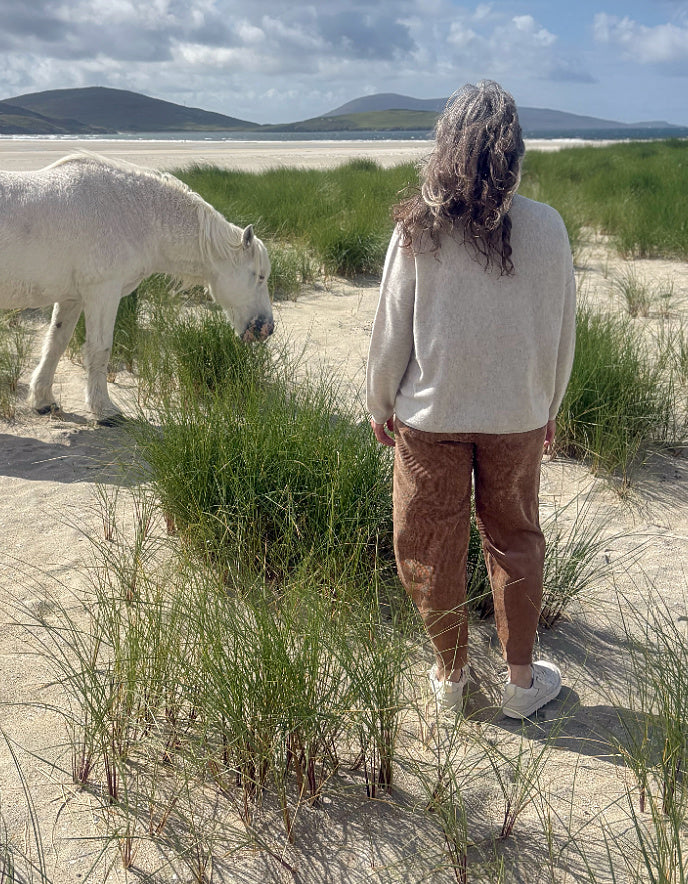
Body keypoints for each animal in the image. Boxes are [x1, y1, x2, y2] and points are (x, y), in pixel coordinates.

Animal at [0, 152, 273, 422]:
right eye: (260, 276)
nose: (267, 328)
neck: (132, 213)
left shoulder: (73, 298)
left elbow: (56, 344)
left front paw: (43, 401)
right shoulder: (103, 293)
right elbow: (100, 349)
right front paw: (105, 410)